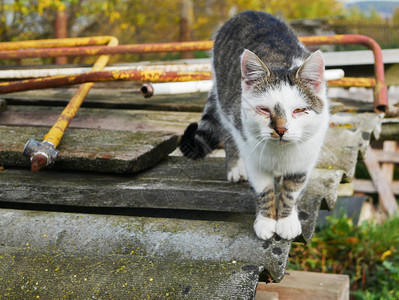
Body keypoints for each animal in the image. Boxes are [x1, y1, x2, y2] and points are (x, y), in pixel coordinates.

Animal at [180, 10, 330, 241]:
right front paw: (266, 221)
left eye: (298, 110)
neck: (279, 153)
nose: (281, 130)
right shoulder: (252, 156)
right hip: (227, 103)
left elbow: (292, 190)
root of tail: (246, 12)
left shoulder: (304, 159)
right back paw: (235, 168)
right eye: (264, 110)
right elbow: (263, 190)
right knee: (228, 133)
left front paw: (286, 220)